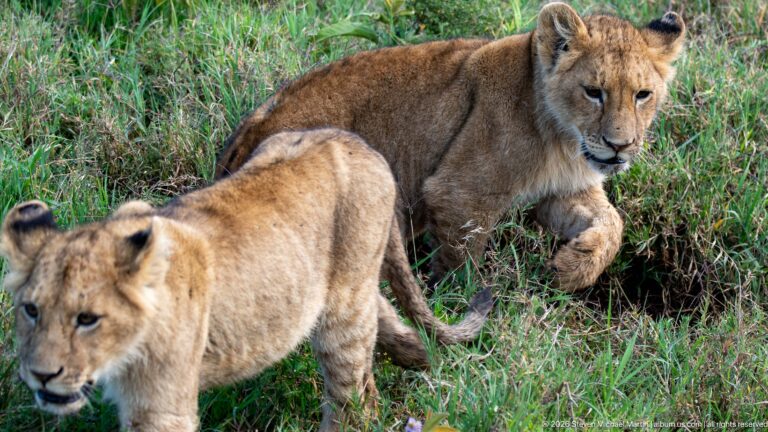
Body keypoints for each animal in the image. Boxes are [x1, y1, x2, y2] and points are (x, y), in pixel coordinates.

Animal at [0, 129, 492, 431]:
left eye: (87, 319)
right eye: (31, 311)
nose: (41, 376)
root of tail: (360, 144)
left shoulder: (163, 407)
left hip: (342, 314)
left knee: (351, 395)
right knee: (376, 317)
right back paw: (419, 356)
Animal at [215, 3, 686, 291]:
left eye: (642, 95)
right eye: (593, 92)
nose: (620, 146)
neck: (561, 138)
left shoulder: (562, 191)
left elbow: (613, 224)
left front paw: (571, 268)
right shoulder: (460, 192)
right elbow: (462, 263)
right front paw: (459, 309)